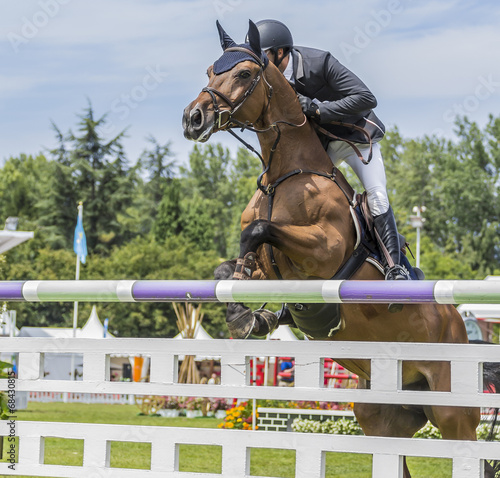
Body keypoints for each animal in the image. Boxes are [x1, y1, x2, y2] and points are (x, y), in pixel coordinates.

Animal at [185, 19, 500, 478]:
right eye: (211, 70)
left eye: (243, 74)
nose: (193, 118)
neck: (285, 175)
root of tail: (460, 329)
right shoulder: (274, 268)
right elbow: (229, 269)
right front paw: (249, 317)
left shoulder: (322, 252)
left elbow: (260, 229)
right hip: (382, 412)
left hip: (451, 412)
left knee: (468, 451)